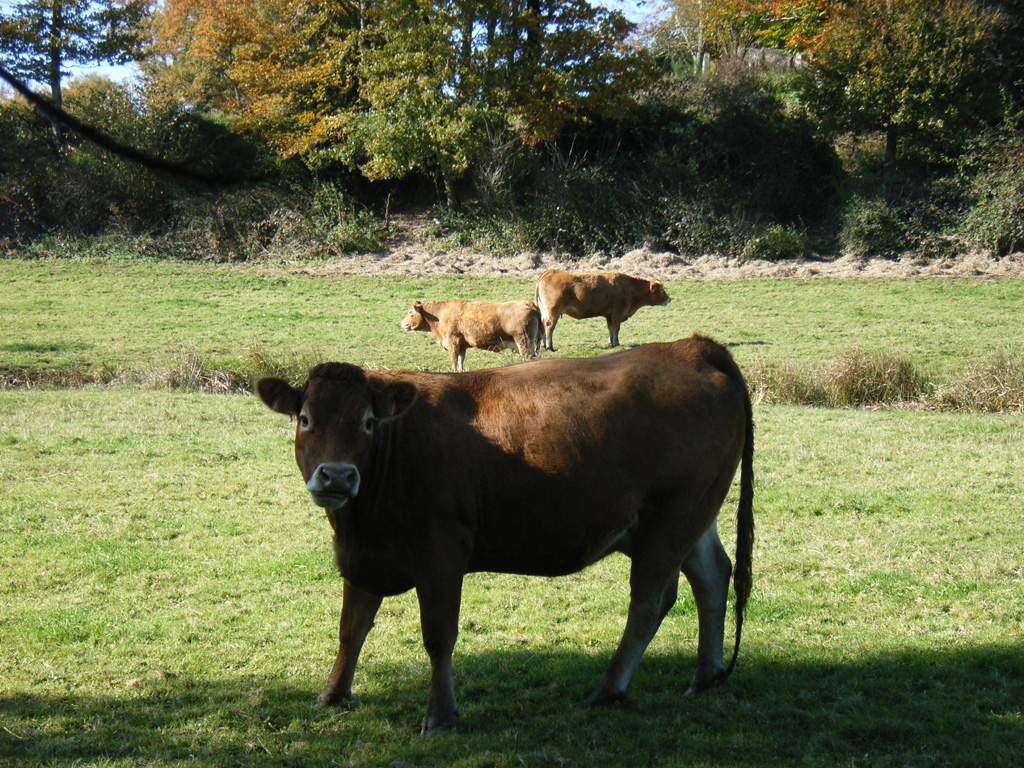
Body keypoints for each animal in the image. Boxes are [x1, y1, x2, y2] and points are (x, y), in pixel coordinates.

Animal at [256, 335, 753, 733]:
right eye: (305, 419)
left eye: (367, 422)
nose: (337, 476)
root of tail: (691, 348)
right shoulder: (364, 557)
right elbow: (350, 629)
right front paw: (332, 695)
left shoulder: (441, 554)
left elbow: (438, 636)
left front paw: (441, 714)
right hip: (695, 516)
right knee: (712, 577)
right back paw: (705, 676)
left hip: (672, 518)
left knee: (650, 601)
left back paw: (610, 689)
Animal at [399, 296, 544, 372]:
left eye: (410, 313)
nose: (402, 323)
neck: (439, 315)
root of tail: (529, 304)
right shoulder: (462, 345)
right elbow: (460, 360)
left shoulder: (452, 341)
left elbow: (453, 360)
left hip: (523, 341)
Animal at [536, 270, 671, 352]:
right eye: (661, 290)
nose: (669, 299)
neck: (628, 287)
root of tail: (551, 272)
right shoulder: (617, 312)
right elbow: (616, 328)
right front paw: (616, 343)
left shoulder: (609, 314)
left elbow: (611, 328)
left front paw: (611, 342)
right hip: (553, 312)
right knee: (549, 327)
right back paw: (549, 346)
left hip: (544, 311)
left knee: (542, 326)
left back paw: (543, 345)